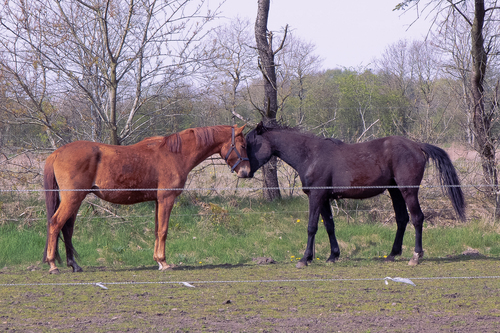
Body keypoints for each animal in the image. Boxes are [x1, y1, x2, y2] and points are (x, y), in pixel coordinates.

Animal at [42, 124, 249, 272]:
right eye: (243, 145)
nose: (246, 172)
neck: (175, 154)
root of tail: (57, 153)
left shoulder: (158, 201)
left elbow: (157, 230)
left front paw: (158, 261)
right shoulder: (166, 199)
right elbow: (164, 230)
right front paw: (164, 263)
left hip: (74, 200)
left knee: (67, 228)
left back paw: (74, 265)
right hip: (72, 198)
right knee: (55, 223)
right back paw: (53, 265)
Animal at [245, 122, 464, 268]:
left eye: (249, 143)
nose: (243, 171)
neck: (310, 155)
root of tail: (417, 145)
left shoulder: (316, 197)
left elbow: (311, 227)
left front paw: (304, 259)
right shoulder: (324, 199)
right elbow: (329, 226)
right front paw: (332, 256)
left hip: (408, 191)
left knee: (417, 218)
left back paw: (415, 256)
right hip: (394, 191)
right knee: (402, 219)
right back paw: (392, 254)